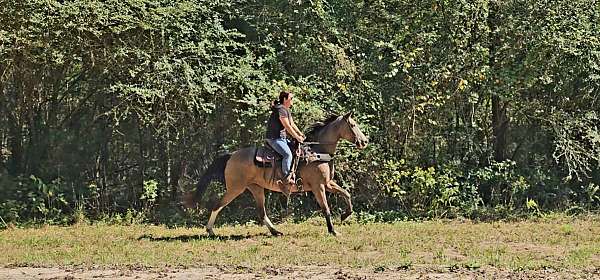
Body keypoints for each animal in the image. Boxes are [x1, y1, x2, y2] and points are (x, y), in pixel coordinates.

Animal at [183, 111, 368, 236]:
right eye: (353, 125)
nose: (364, 141)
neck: (317, 151)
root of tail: (231, 155)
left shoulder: (328, 183)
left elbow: (346, 194)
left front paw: (344, 215)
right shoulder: (318, 187)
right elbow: (326, 208)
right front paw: (333, 230)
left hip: (256, 188)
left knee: (261, 212)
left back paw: (275, 231)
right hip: (236, 189)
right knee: (217, 205)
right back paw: (210, 231)